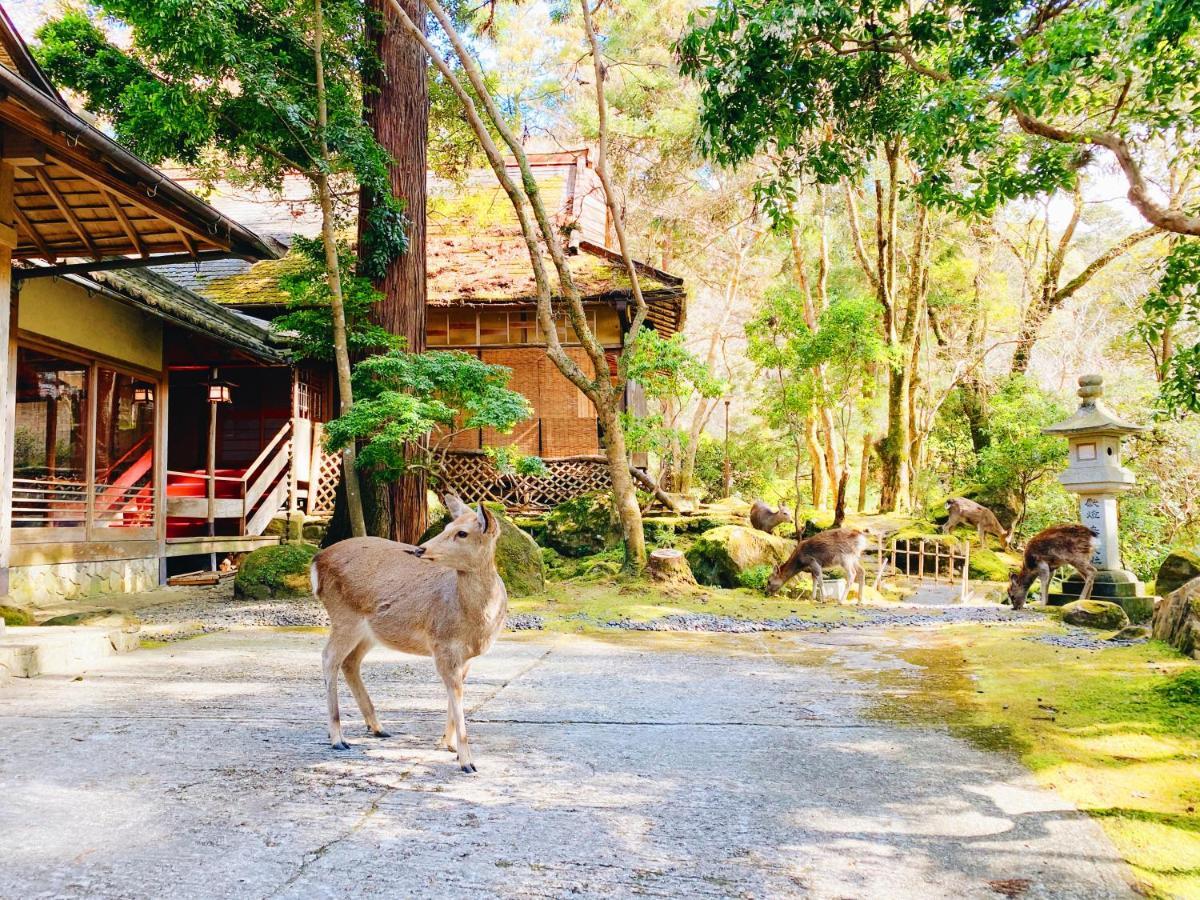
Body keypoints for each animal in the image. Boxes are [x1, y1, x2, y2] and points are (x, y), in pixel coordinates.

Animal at [312, 494, 504, 777]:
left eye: (462, 532)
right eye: (447, 527)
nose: (420, 549)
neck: (475, 622)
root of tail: (316, 561)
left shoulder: (467, 656)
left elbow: (456, 694)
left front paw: (448, 745)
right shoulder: (442, 644)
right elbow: (456, 695)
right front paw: (467, 762)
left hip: (369, 631)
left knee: (349, 662)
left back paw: (377, 727)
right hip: (344, 616)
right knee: (329, 658)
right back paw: (338, 738)